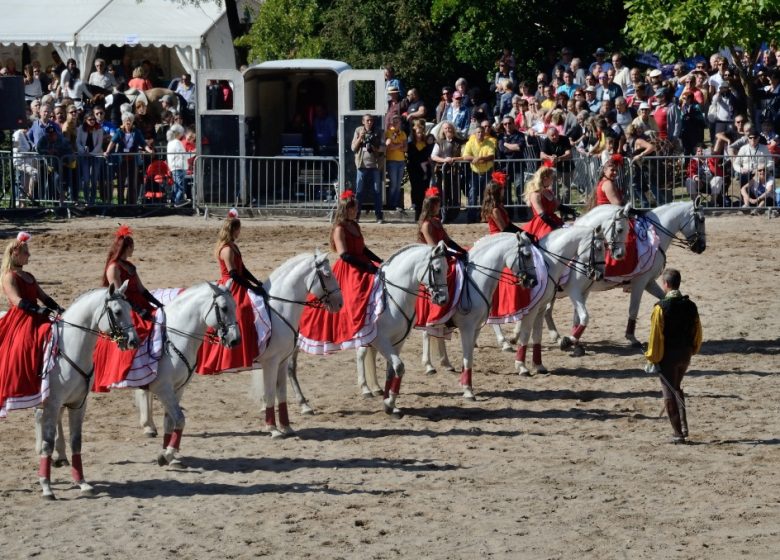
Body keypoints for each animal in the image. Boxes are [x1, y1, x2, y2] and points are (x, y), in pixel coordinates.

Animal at [34, 282, 139, 500]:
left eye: (130, 310)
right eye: (117, 312)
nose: (134, 341)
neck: (70, 349)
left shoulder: (78, 404)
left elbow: (76, 442)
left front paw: (82, 483)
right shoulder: (52, 403)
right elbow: (48, 442)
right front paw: (47, 487)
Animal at [286, 243, 448, 418]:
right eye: (437, 269)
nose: (443, 299)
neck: (395, 295)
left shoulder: (398, 341)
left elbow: (392, 371)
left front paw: (391, 405)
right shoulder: (381, 340)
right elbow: (398, 367)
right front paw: (388, 403)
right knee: (290, 367)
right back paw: (304, 406)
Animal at [544, 201, 708, 348]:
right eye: (701, 219)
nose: (702, 247)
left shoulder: (649, 283)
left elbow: (664, 298)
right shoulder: (640, 283)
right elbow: (633, 309)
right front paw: (631, 338)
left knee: (547, 312)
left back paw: (558, 337)